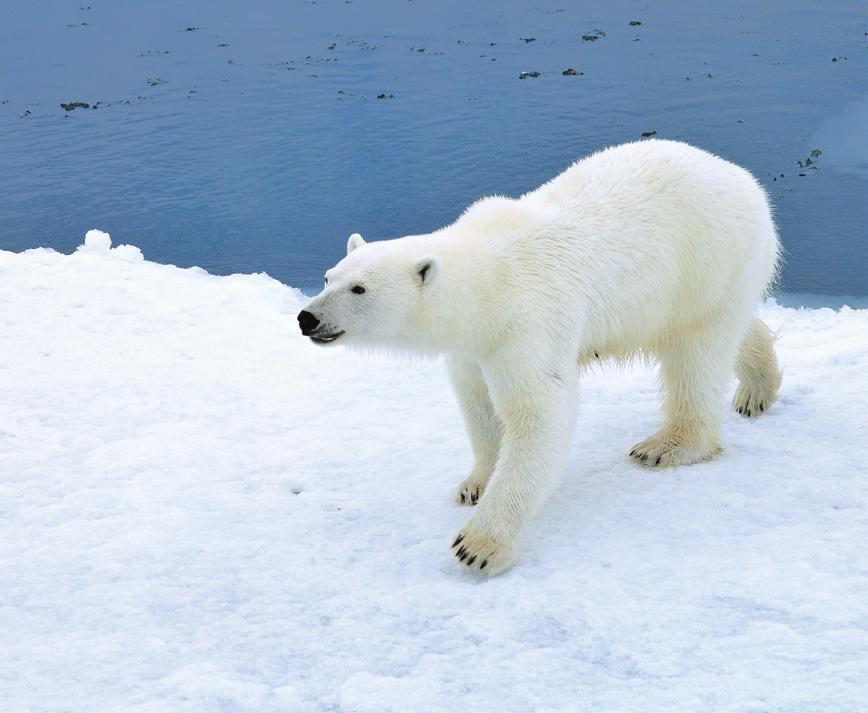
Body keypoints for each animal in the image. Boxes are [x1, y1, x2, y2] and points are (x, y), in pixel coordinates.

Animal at [296, 139, 780, 572]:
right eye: (329, 276)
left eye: (360, 289)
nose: (307, 317)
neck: (488, 280)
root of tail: (742, 178)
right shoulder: (473, 345)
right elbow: (478, 403)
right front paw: (474, 484)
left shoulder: (528, 320)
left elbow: (538, 414)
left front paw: (479, 545)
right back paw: (758, 388)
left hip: (707, 259)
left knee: (697, 351)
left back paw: (667, 446)